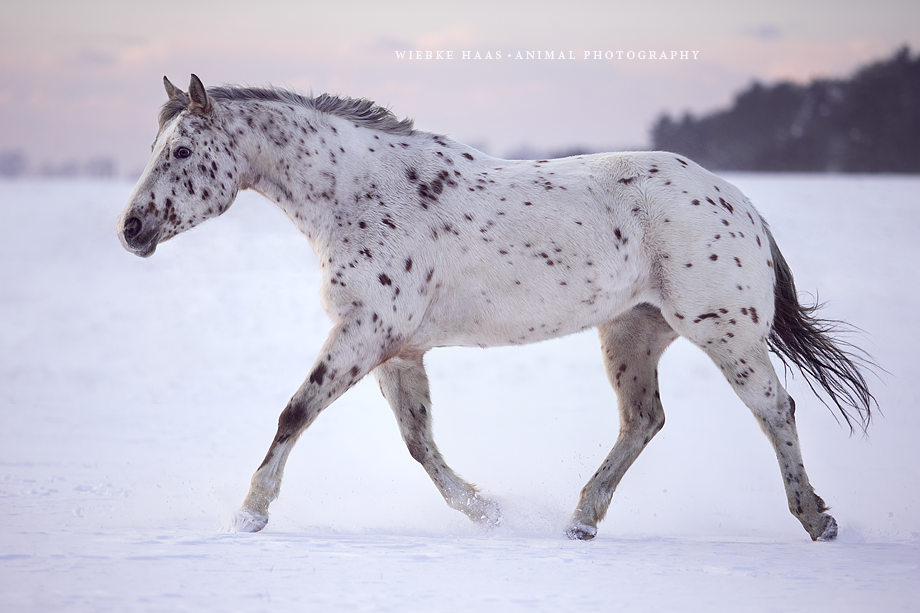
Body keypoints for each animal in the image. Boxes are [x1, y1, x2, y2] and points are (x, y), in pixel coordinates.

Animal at [116, 74, 875, 541]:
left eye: (181, 150)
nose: (131, 228)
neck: (361, 191)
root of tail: (738, 201)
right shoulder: (397, 349)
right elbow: (419, 442)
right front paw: (489, 511)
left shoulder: (364, 334)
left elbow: (295, 412)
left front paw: (250, 514)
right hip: (632, 333)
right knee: (643, 420)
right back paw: (579, 520)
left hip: (725, 335)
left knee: (775, 409)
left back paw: (816, 519)